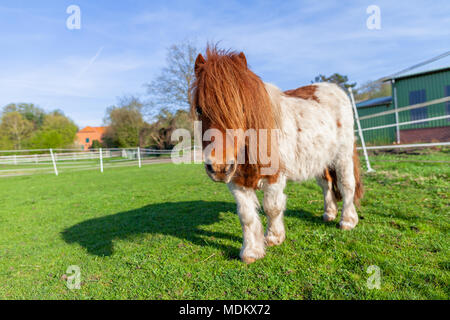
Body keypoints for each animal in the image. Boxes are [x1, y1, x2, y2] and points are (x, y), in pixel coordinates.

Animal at [190, 46, 362, 264]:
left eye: (242, 108)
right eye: (199, 109)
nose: (219, 168)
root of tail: (334, 89)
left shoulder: (275, 176)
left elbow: (272, 207)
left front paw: (273, 237)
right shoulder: (236, 181)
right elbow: (246, 215)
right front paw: (251, 251)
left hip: (342, 156)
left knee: (347, 185)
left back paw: (347, 221)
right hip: (320, 160)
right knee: (327, 185)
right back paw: (329, 213)